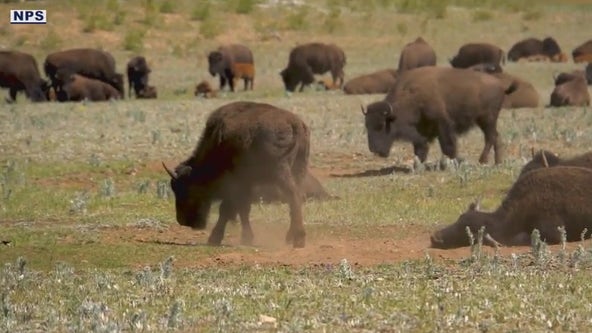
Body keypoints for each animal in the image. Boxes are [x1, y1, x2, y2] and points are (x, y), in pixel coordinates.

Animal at [162, 100, 310, 248]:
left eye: (186, 190)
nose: (182, 221)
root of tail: (295, 124)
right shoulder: (246, 184)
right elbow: (243, 209)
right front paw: (246, 238)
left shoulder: (235, 183)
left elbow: (228, 209)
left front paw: (215, 238)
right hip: (299, 171)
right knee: (296, 199)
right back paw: (291, 237)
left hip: (281, 173)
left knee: (294, 197)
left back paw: (299, 239)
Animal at [360, 66, 520, 163]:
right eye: (367, 125)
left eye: (381, 126)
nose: (374, 150)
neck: (410, 95)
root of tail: (501, 86)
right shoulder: (421, 131)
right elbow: (420, 146)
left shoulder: (443, 124)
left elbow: (447, 144)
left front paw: (451, 160)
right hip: (486, 121)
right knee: (496, 137)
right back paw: (497, 162)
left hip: (486, 119)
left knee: (490, 137)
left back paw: (483, 160)